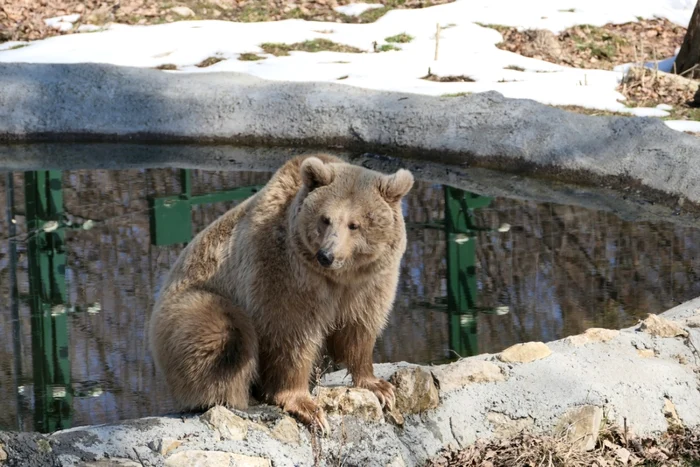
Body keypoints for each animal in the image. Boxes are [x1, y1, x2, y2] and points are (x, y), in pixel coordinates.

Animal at [148, 154, 410, 432]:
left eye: (354, 224)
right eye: (325, 219)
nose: (326, 255)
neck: (337, 277)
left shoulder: (369, 282)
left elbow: (359, 329)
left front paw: (380, 386)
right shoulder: (284, 272)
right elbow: (290, 335)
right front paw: (308, 407)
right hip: (193, 304)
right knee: (223, 339)